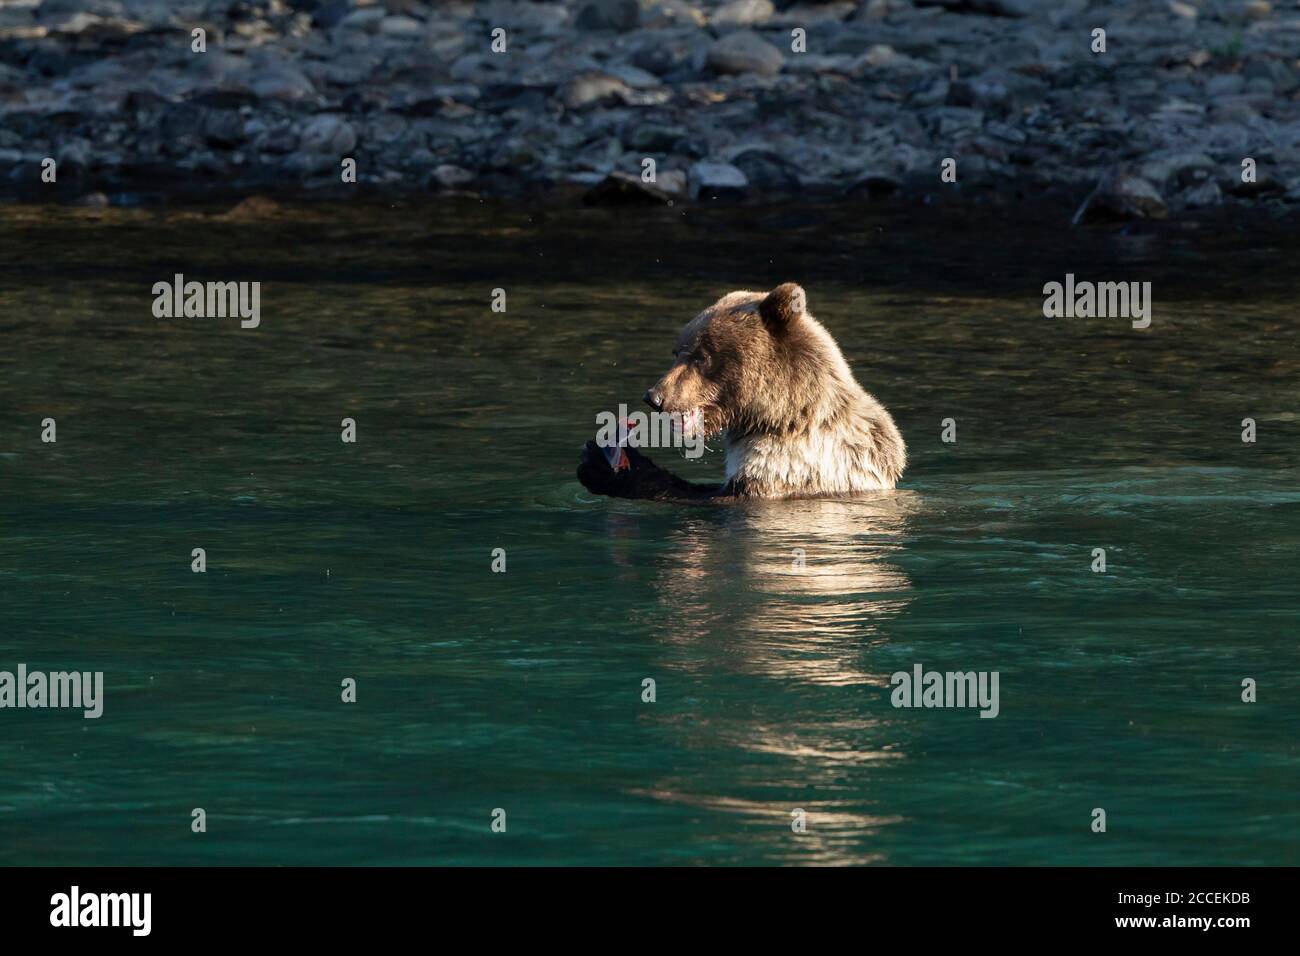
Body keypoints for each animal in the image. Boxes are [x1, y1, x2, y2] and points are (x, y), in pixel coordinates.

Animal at [577, 283, 906, 502]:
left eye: (701, 356)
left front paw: (604, 464)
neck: (782, 418)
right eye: (677, 351)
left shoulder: (789, 467)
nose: (655, 396)